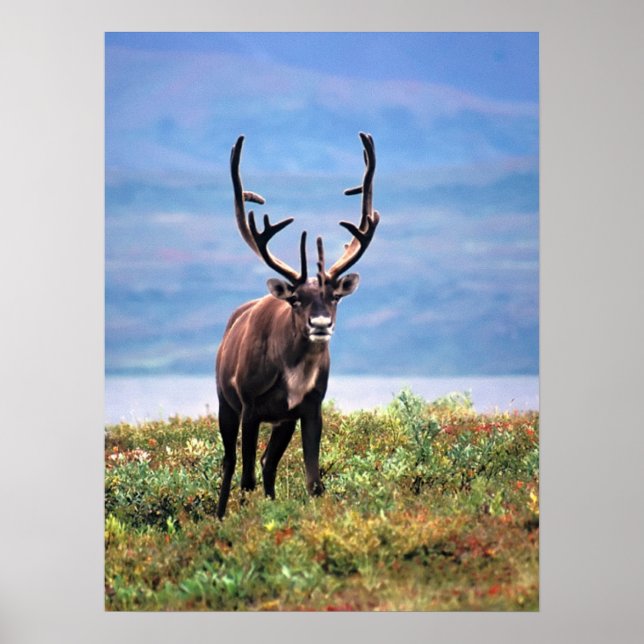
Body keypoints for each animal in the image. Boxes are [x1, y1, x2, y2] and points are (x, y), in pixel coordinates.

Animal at [214, 132, 380, 518]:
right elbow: (245, 479)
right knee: (230, 464)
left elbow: (314, 481)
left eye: (334, 297)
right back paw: (219, 514)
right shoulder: (250, 406)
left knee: (267, 464)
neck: (293, 373)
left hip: (282, 421)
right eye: (296, 299)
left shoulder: (309, 406)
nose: (320, 323)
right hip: (225, 402)